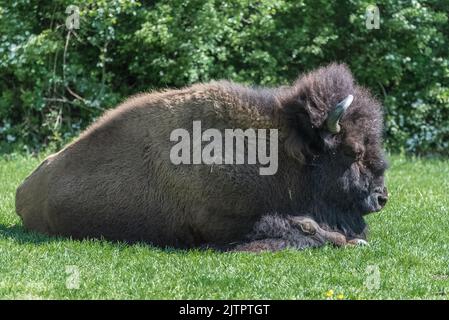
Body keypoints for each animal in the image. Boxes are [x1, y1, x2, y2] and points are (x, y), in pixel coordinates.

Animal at [15, 63, 386, 252]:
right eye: (353, 151)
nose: (382, 197)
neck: (280, 152)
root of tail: (23, 190)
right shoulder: (227, 223)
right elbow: (302, 228)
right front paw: (350, 241)